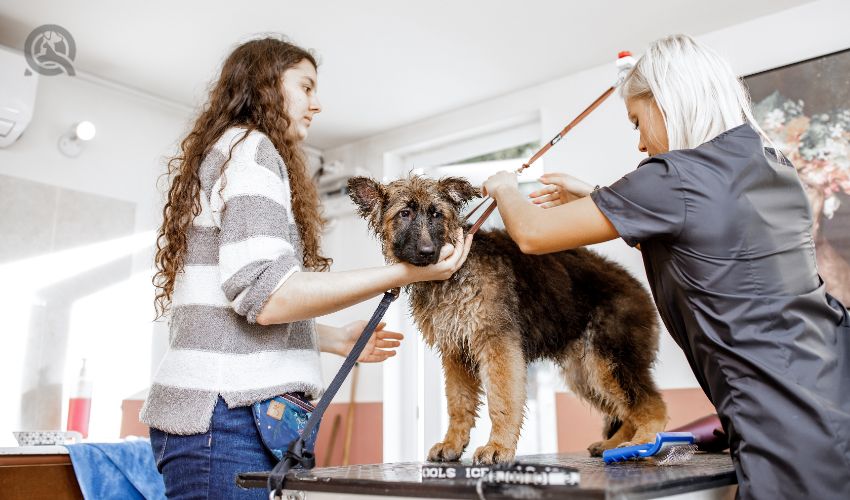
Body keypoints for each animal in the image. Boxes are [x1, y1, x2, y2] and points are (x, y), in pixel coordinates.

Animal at [348, 174, 664, 462]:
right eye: (405, 214)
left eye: (437, 214)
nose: (428, 253)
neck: (457, 271)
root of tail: (636, 284)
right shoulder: (456, 352)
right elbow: (458, 403)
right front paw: (453, 443)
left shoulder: (497, 344)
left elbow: (502, 400)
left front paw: (498, 446)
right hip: (585, 373)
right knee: (628, 409)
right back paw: (617, 444)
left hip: (608, 362)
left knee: (652, 405)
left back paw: (643, 442)